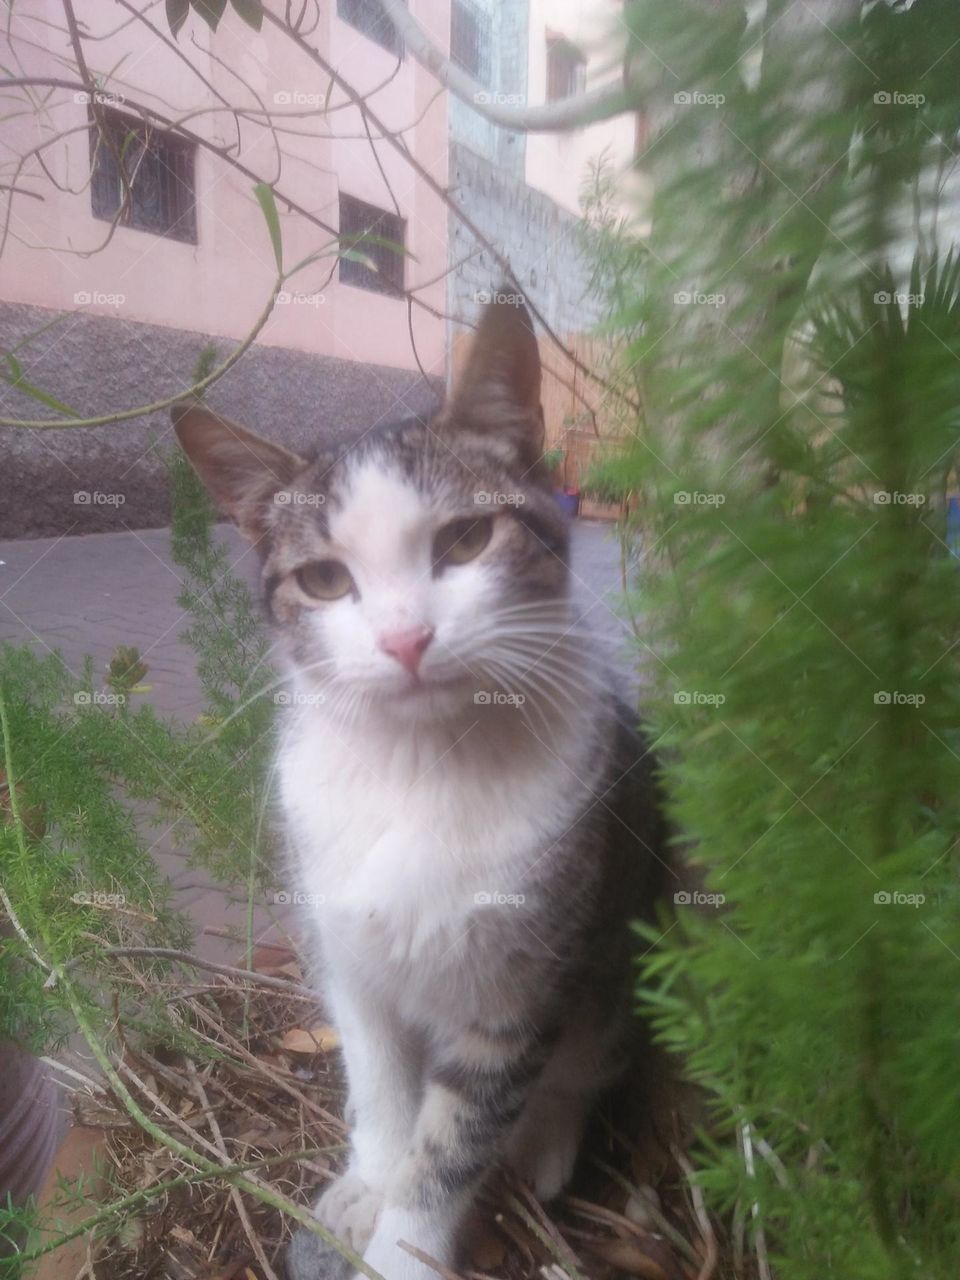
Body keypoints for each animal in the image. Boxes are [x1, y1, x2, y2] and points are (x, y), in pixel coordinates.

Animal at [175, 293, 670, 1280]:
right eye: (325, 579)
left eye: (468, 538)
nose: (405, 639)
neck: (421, 763)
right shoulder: (346, 949)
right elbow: (379, 1080)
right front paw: (369, 1180)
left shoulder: (518, 992)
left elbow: (454, 1141)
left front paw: (407, 1243)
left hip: (617, 953)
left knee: (585, 1062)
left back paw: (548, 1138)